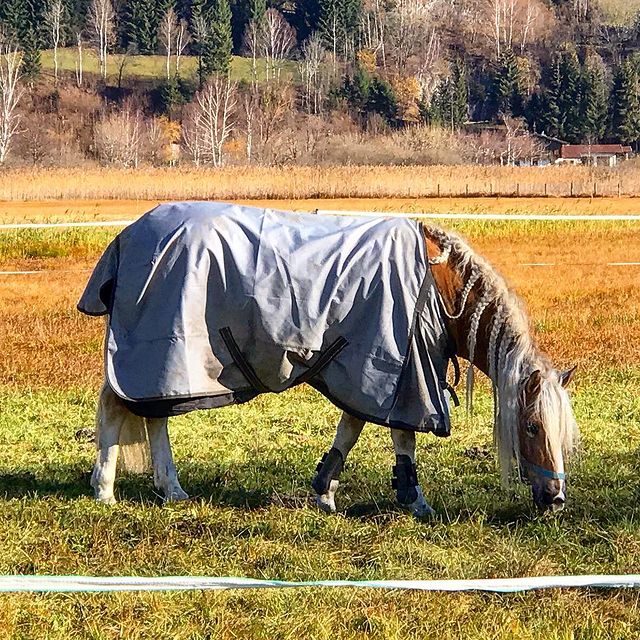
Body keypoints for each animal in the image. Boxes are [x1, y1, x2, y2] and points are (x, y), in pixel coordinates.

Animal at [80, 203, 578, 516]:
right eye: (532, 427)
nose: (556, 498)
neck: (436, 286)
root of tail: (129, 235)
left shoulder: (373, 372)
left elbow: (351, 429)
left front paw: (325, 492)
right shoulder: (401, 370)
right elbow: (401, 436)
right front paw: (414, 500)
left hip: (167, 367)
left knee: (153, 418)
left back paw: (171, 489)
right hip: (157, 354)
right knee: (117, 410)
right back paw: (105, 490)